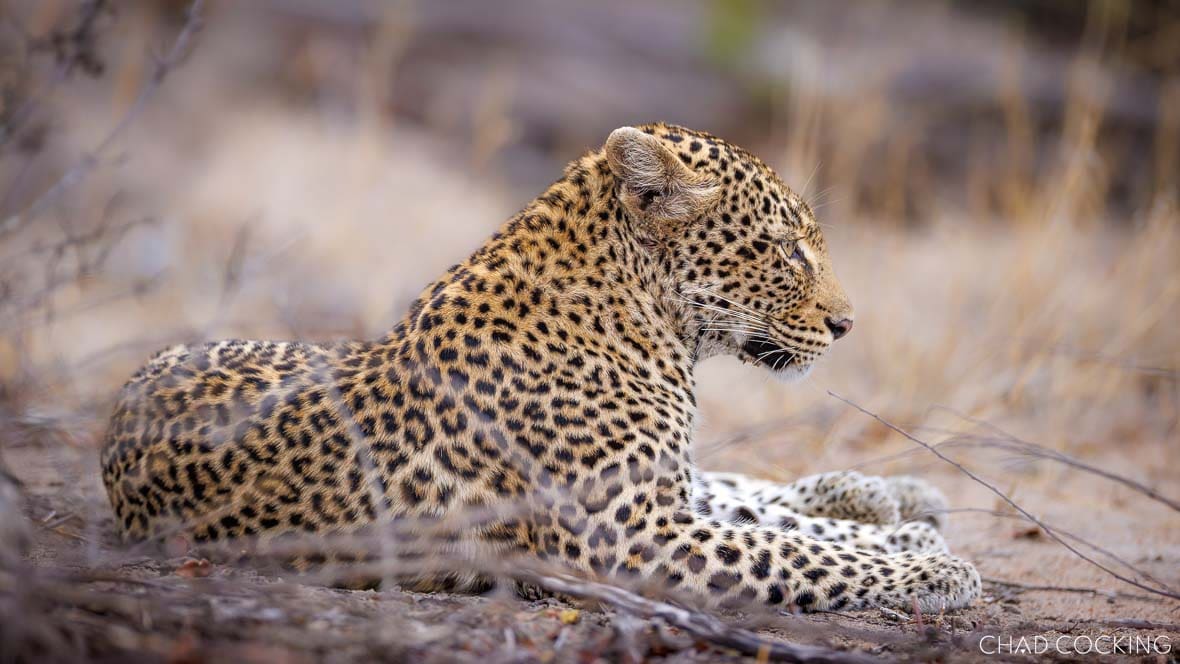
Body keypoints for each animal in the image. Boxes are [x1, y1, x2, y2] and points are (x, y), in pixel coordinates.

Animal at [101, 123, 980, 612]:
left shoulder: (650, 504)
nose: (846, 324)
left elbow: (785, 529)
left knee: (747, 491)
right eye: (786, 249)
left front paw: (920, 548)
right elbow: (796, 553)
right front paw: (936, 569)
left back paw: (893, 498)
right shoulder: (630, 535)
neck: (652, 325)